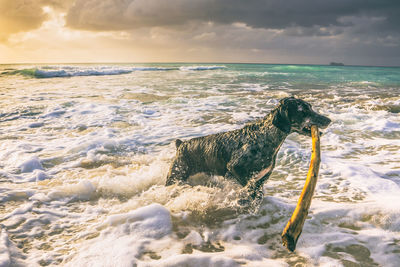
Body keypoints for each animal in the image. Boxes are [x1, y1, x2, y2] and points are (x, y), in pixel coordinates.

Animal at [166, 97, 332, 202]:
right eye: (302, 111)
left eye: (310, 107)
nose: (329, 120)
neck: (265, 136)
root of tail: (181, 145)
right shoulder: (235, 168)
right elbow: (250, 189)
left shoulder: (262, 178)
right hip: (174, 176)